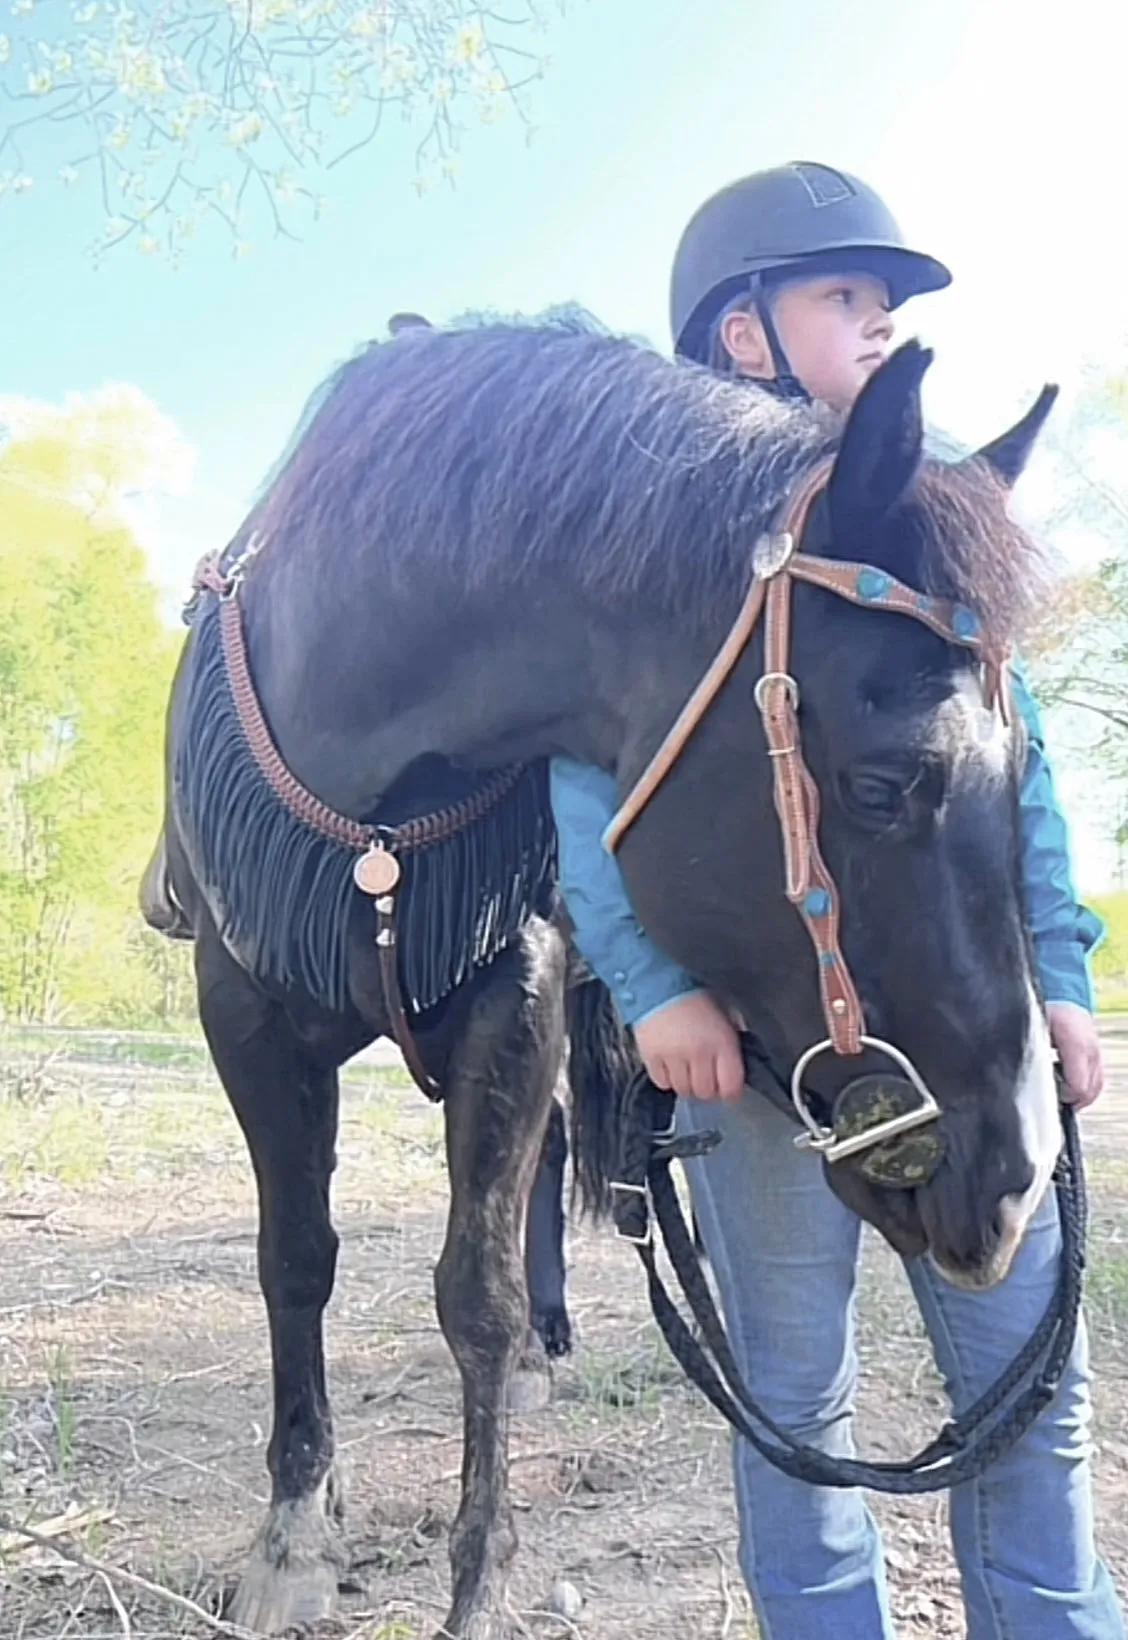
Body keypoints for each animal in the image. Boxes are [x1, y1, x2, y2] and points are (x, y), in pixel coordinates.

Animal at [145, 313, 1062, 1633]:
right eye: (886, 782)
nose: (1014, 1181)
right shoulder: (244, 1010)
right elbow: (295, 1259)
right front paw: (295, 1528)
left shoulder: (514, 993)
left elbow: (473, 1290)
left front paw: (479, 1574)